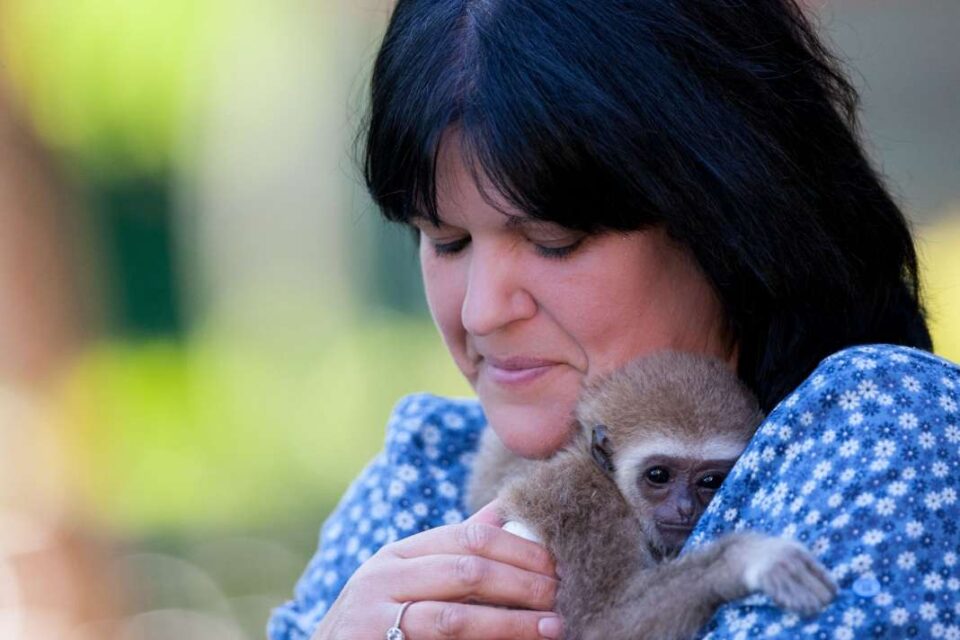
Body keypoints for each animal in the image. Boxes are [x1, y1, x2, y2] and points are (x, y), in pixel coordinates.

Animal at [468, 352, 836, 636]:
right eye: (658, 476)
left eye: (710, 481)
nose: (685, 508)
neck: (614, 489)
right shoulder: (581, 504)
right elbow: (600, 625)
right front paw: (747, 557)